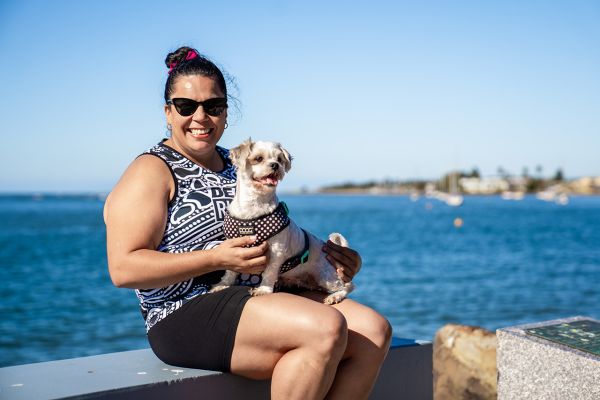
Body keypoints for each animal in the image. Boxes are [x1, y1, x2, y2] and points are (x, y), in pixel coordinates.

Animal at [211, 139, 354, 304]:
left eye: (279, 159)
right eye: (258, 158)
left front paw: (263, 290)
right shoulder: (235, 247)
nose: (275, 165)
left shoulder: (276, 251)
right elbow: (230, 269)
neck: (253, 207)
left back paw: (335, 296)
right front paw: (223, 284)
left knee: (348, 286)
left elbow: (269, 272)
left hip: (326, 277)